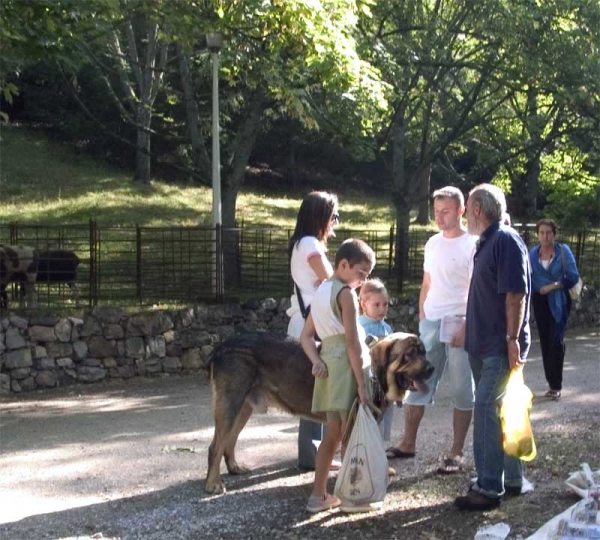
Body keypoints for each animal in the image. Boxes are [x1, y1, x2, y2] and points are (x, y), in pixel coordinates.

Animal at [205, 330, 432, 494]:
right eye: (409, 355)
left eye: (423, 352)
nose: (432, 369)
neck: (373, 373)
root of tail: (221, 346)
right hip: (230, 405)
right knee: (215, 446)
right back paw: (213, 483)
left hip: (243, 409)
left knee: (229, 441)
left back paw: (234, 467)